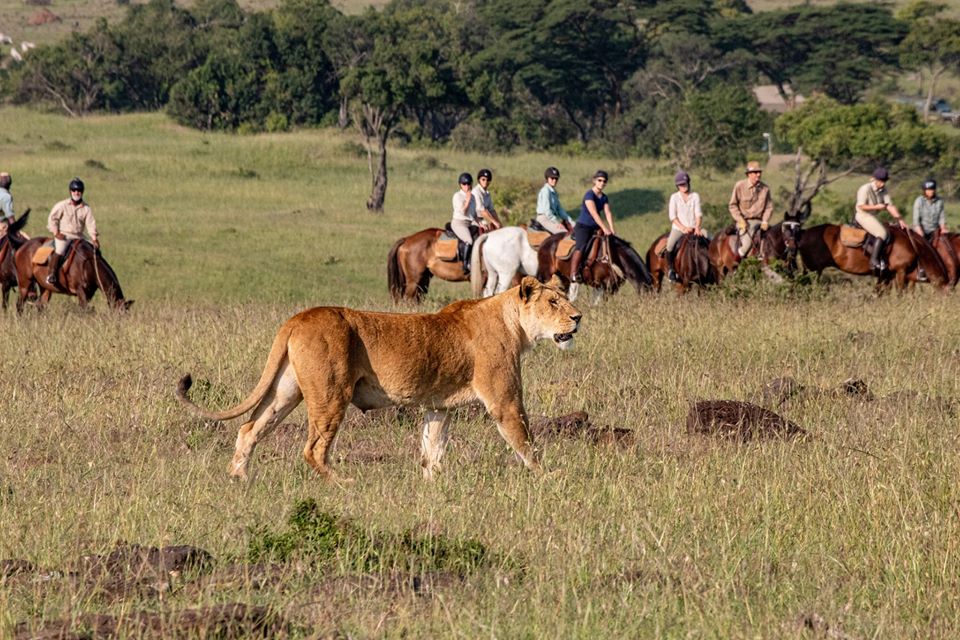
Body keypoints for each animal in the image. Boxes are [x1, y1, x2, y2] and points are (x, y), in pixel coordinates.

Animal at [797, 224, 947, 292]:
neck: (913, 245)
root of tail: (803, 234)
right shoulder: (900, 272)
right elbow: (900, 293)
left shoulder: (887, 275)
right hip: (812, 270)